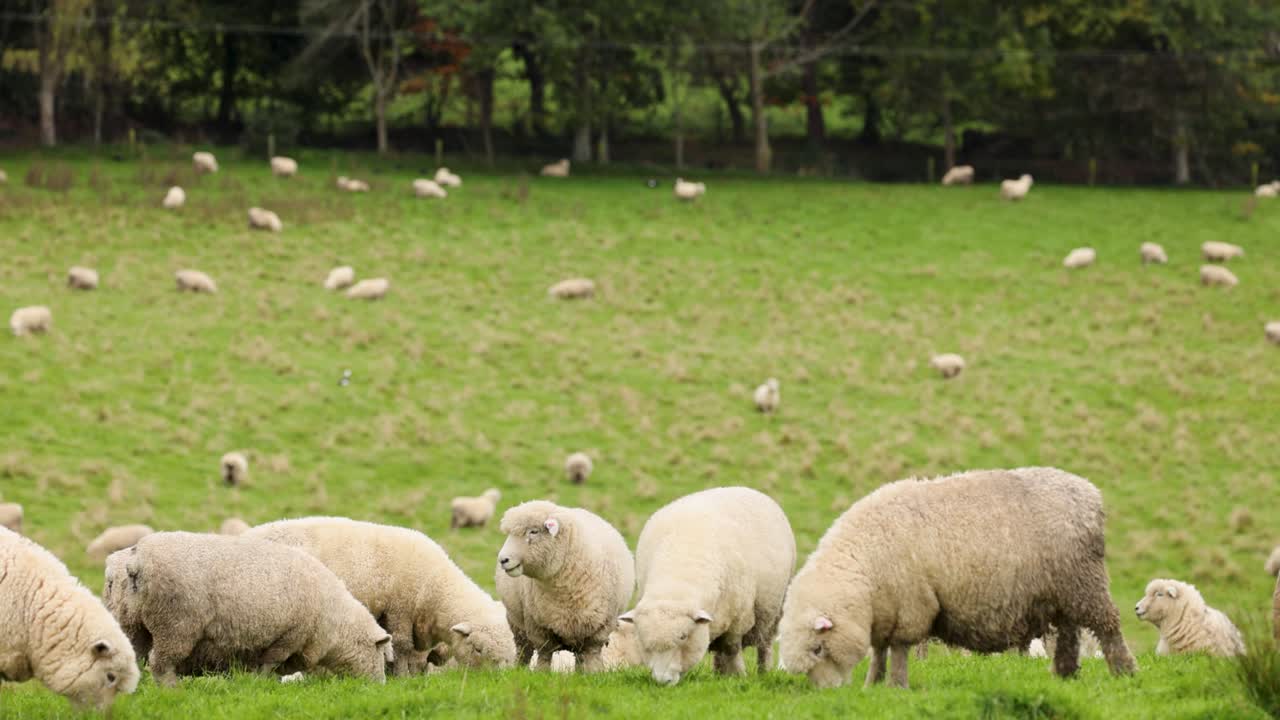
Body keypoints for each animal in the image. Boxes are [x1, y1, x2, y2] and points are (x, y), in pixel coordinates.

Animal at [117, 532, 392, 685]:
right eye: (381, 653)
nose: (380, 687)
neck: (334, 621)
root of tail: (137, 561)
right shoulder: (290, 636)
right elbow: (270, 663)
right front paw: (260, 682)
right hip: (176, 624)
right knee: (160, 663)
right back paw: (172, 689)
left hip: (132, 623)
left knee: (134, 656)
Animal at [245, 517, 516, 675]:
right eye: (478, 649)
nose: (498, 681)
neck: (434, 588)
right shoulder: (399, 609)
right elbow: (402, 647)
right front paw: (403, 678)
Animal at [496, 500, 635, 672]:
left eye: (533, 531)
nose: (503, 559)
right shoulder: (537, 624)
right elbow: (544, 654)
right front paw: (541, 673)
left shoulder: (600, 626)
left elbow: (592, 653)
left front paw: (594, 672)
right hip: (517, 622)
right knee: (524, 649)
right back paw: (519, 669)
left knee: (581, 655)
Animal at [619, 487, 795, 685]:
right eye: (643, 640)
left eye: (683, 636)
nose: (663, 681)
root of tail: (742, 487)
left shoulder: (738, 620)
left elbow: (732, 649)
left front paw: (739, 676)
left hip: (774, 611)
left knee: (764, 645)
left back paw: (763, 672)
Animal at [777, 467, 1136, 689]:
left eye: (818, 649)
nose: (828, 691)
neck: (863, 569)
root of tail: (1089, 493)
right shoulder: (885, 611)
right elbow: (879, 652)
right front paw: (872, 684)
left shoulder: (910, 606)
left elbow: (898, 650)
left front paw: (896, 685)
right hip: (1064, 591)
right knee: (1069, 633)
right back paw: (1065, 674)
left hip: (1086, 583)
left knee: (1108, 626)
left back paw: (1124, 671)